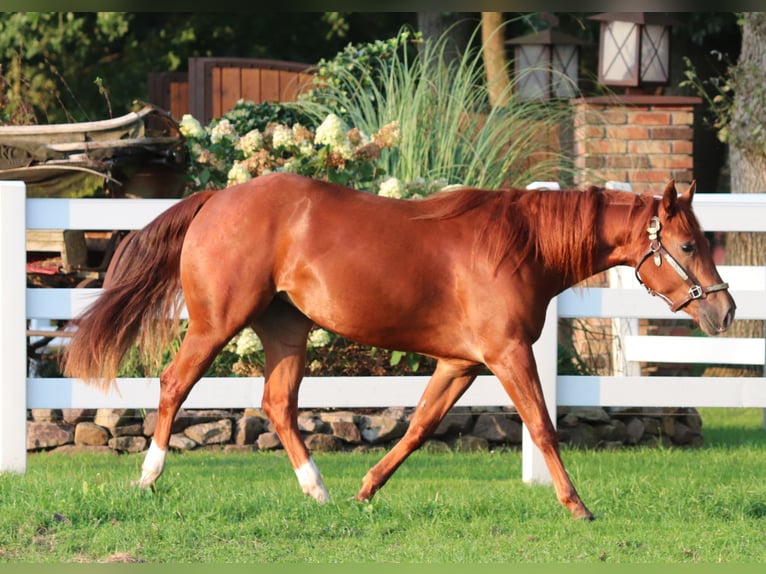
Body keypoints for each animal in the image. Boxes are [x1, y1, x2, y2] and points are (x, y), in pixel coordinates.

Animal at [62, 172, 735, 521]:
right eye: (690, 244)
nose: (724, 310)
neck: (520, 246)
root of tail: (215, 199)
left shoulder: (461, 364)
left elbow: (417, 428)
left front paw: (366, 489)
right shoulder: (506, 355)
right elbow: (542, 428)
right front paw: (578, 507)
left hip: (286, 328)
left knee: (278, 404)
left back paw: (319, 491)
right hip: (216, 322)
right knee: (173, 384)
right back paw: (148, 479)